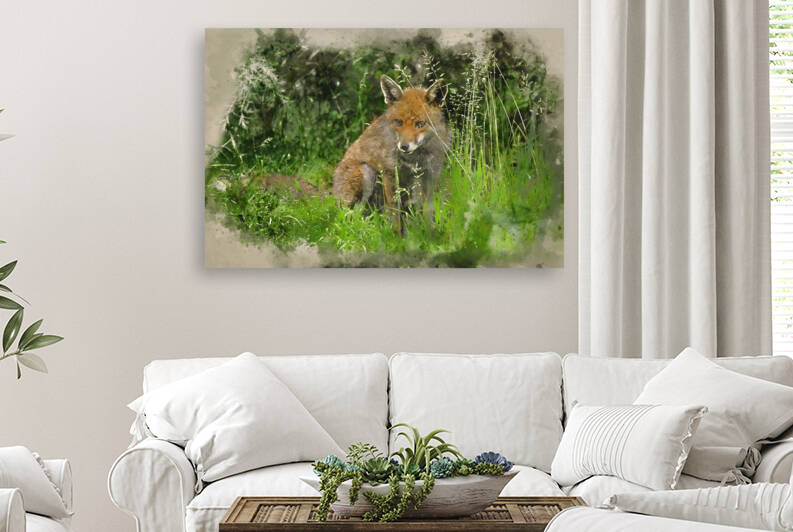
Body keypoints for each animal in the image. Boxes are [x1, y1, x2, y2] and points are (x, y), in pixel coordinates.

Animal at [332, 75, 451, 231]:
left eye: (420, 124)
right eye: (398, 122)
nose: (404, 146)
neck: (415, 159)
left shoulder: (430, 176)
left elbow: (428, 211)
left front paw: (428, 231)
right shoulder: (389, 174)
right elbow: (395, 214)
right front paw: (397, 235)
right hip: (367, 173)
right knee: (350, 217)